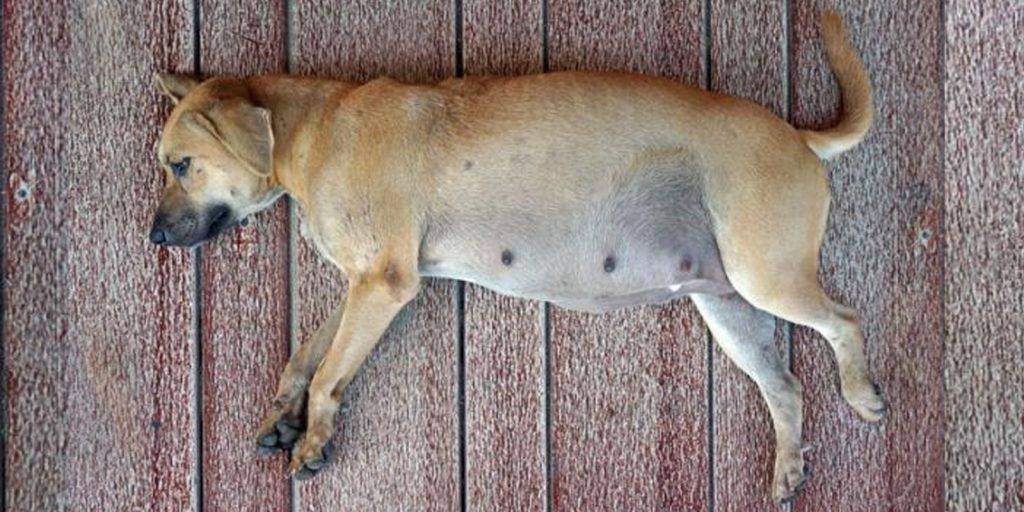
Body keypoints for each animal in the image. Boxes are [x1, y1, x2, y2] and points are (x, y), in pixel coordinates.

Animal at [148, 9, 884, 501]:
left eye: (180, 164)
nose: (153, 237)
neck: (310, 130)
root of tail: (798, 135)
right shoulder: (364, 284)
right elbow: (306, 354)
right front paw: (283, 414)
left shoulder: (384, 285)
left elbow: (331, 372)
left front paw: (313, 440)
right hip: (726, 304)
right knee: (785, 386)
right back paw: (788, 468)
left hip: (767, 277)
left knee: (844, 321)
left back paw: (862, 393)